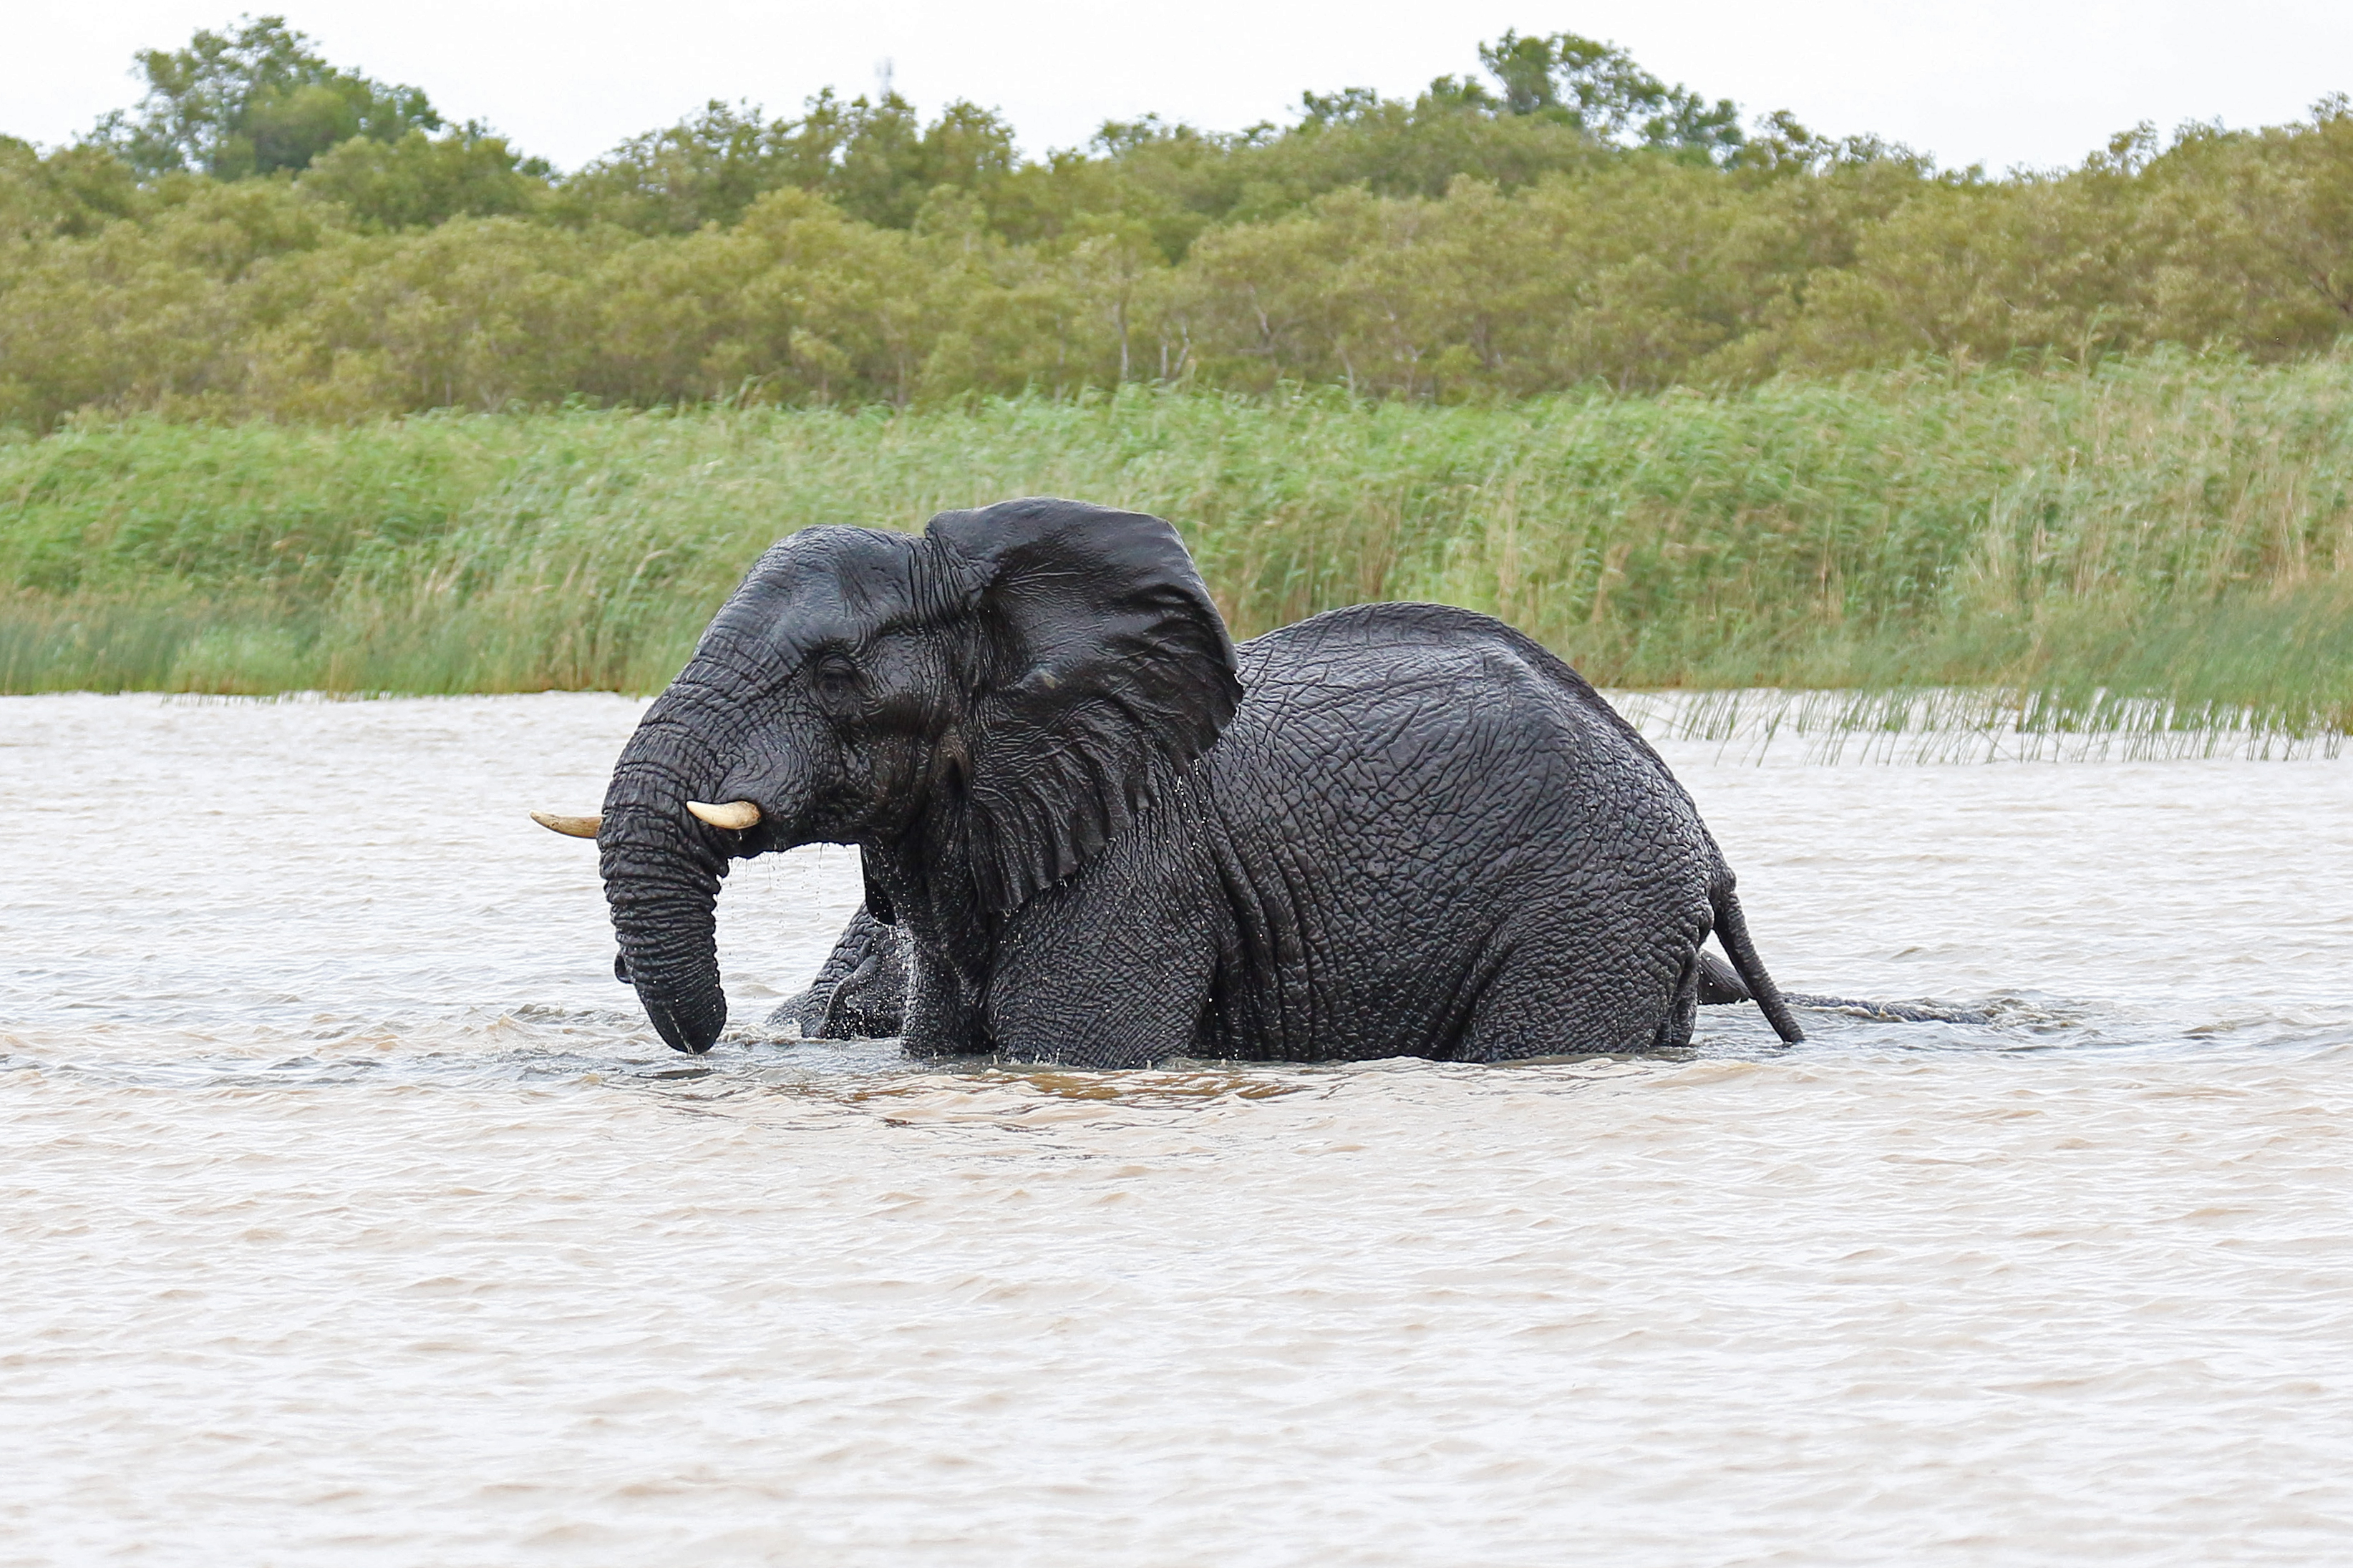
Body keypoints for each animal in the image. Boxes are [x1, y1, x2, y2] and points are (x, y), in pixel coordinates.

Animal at [553, 496, 1806, 1067]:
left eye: (831, 669)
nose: (703, 1035)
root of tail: (1699, 833)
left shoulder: (1138, 868)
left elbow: (1073, 1049)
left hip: (1589, 906)